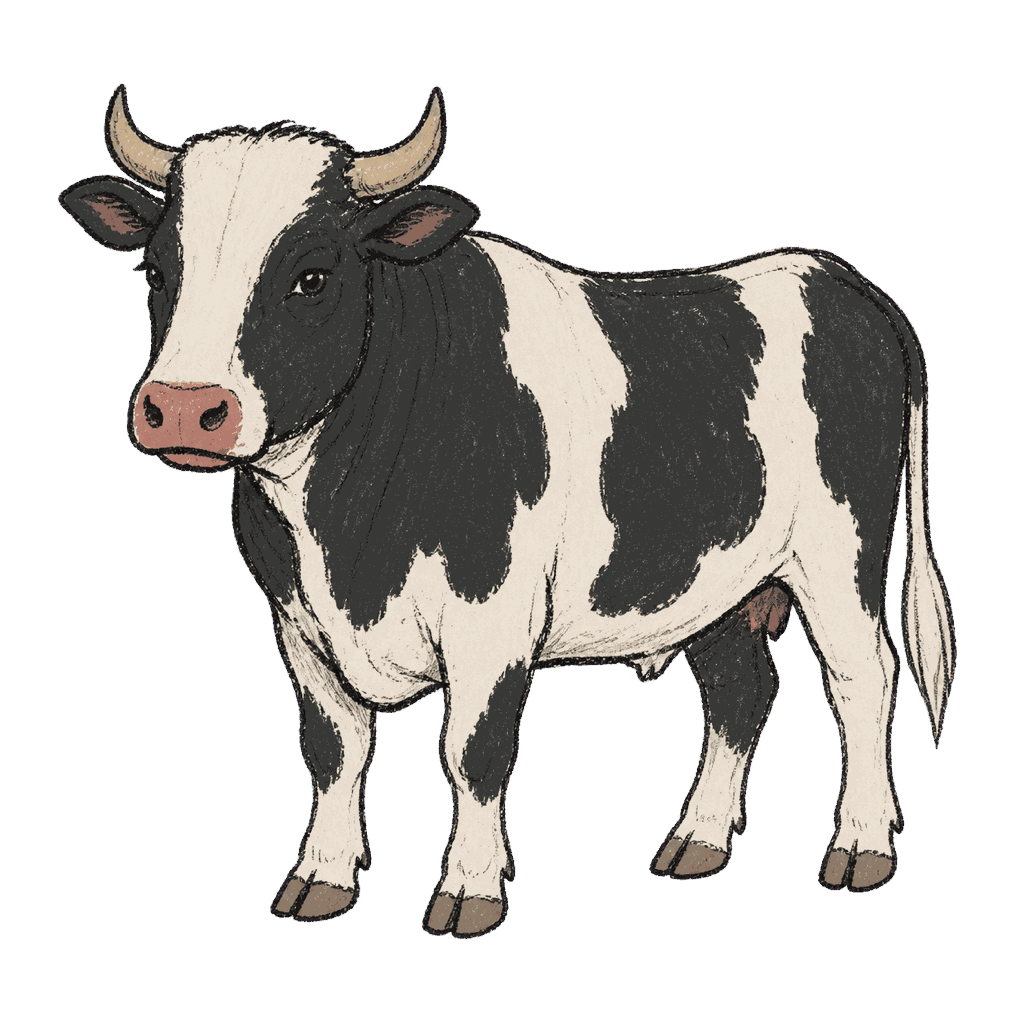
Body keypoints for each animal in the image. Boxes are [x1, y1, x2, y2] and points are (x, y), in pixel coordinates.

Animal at [60, 85, 955, 937]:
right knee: (741, 691)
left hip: (836, 559)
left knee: (863, 680)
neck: (344, 541)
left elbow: (474, 751)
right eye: (155, 272)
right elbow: (333, 749)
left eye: (311, 277)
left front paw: (469, 890)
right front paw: (320, 879)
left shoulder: (492, 615)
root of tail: (832, 276)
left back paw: (860, 848)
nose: (183, 409)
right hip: (719, 582)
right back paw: (695, 842)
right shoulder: (296, 621)